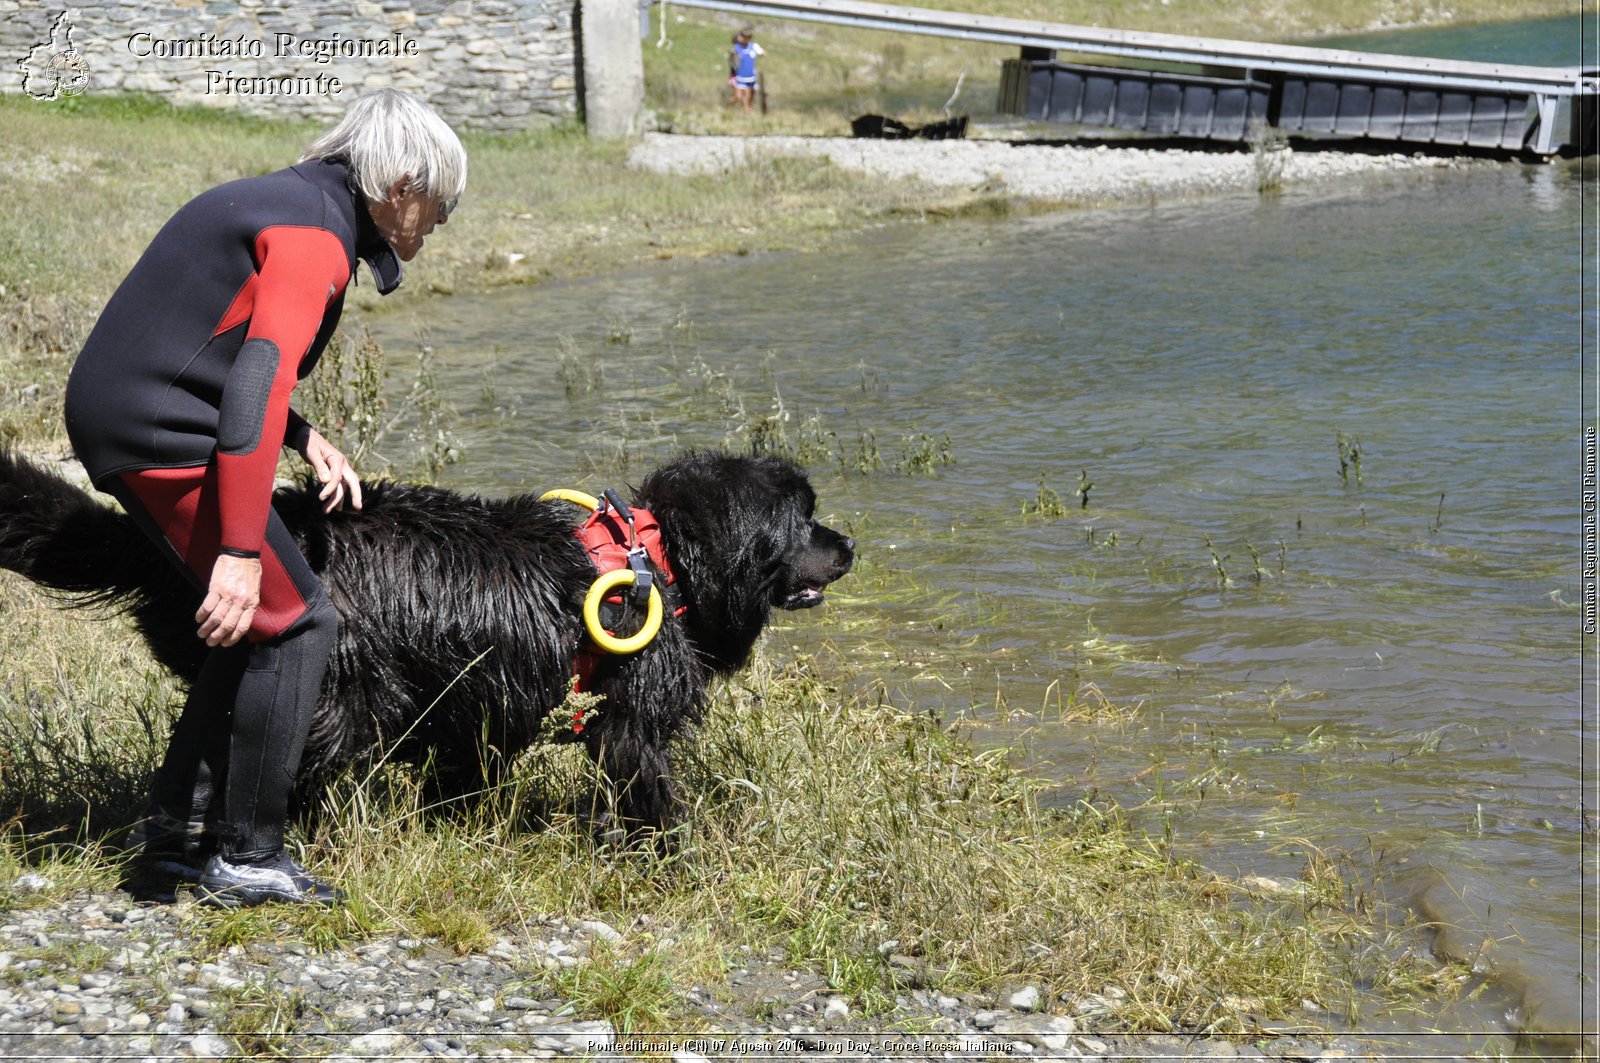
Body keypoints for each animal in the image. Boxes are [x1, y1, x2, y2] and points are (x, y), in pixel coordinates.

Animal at [0, 448, 857, 832]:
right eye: (805, 519)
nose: (849, 543)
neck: (661, 558)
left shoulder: (483, 707)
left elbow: (465, 771)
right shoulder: (629, 716)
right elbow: (646, 776)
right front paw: (676, 844)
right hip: (342, 692)